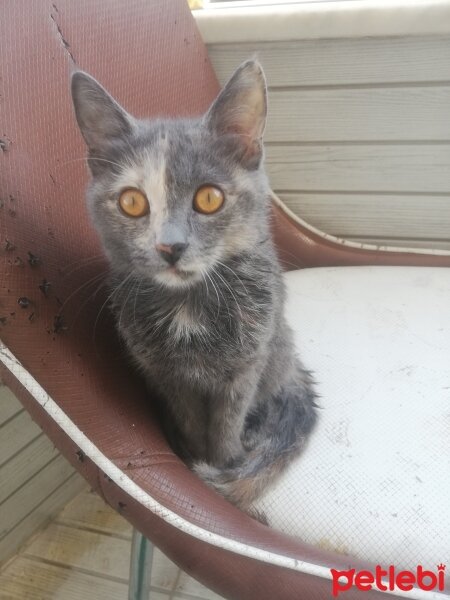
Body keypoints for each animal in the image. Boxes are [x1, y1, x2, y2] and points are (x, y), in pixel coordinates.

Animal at [71, 61, 316, 510]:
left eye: (209, 198)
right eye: (132, 202)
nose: (170, 246)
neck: (188, 307)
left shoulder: (244, 370)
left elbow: (225, 430)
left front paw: (222, 467)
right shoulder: (166, 376)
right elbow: (189, 424)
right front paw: (194, 458)